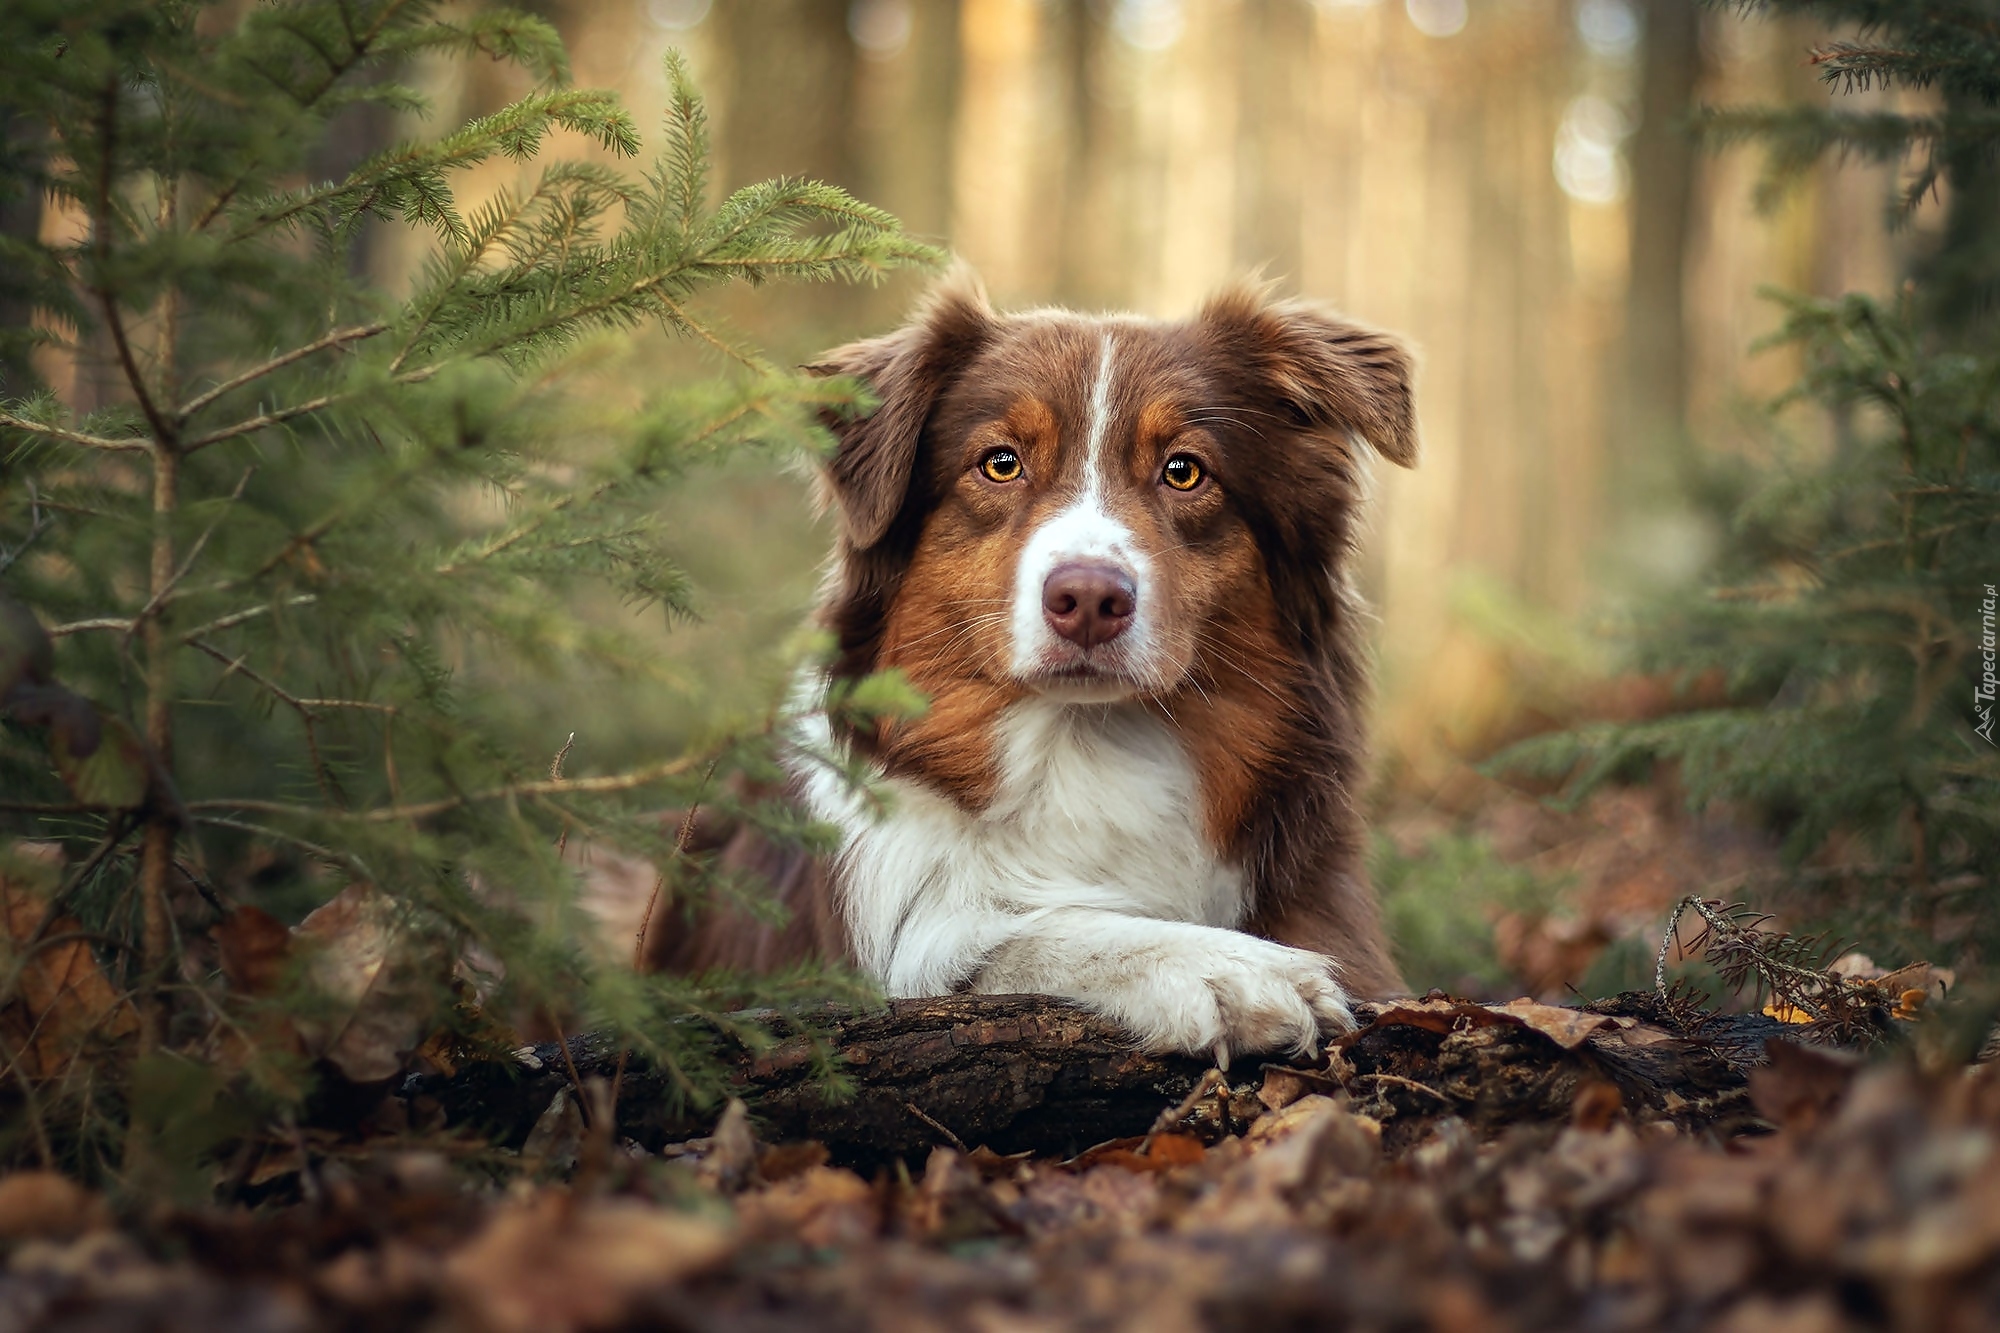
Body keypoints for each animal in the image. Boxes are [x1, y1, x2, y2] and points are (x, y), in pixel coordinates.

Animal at [648, 274, 1416, 1064]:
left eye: (1183, 471)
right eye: (1001, 462)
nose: (1089, 600)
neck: (1086, 751)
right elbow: (1010, 937)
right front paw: (1228, 966)